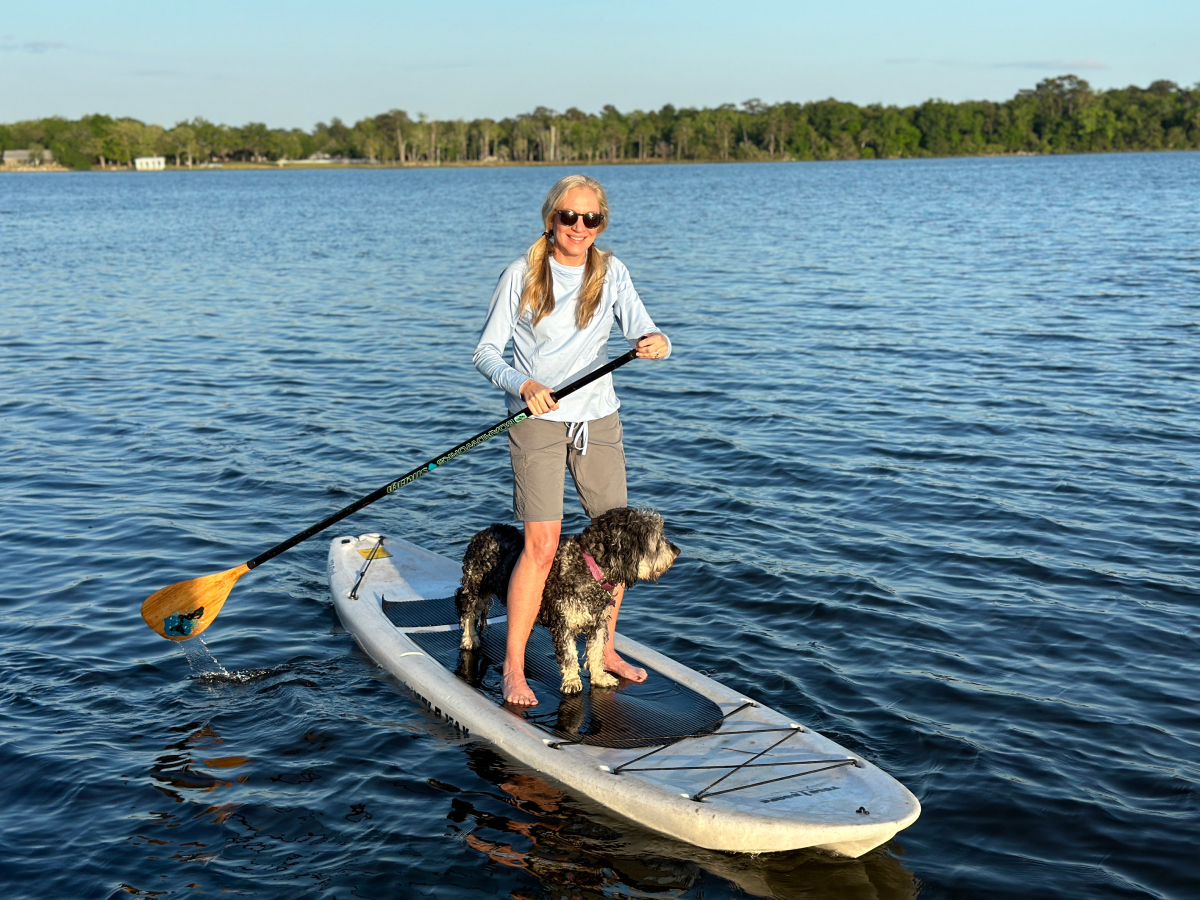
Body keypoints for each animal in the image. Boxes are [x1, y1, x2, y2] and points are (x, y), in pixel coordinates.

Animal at [453, 508, 681, 696]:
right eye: (656, 539)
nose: (677, 551)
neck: (590, 568)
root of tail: (485, 531)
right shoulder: (563, 624)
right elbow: (570, 655)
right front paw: (572, 681)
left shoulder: (598, 623)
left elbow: (597, 651)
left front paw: (600, 677)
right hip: (474, 586)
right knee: (466, 610)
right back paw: (469, 639)